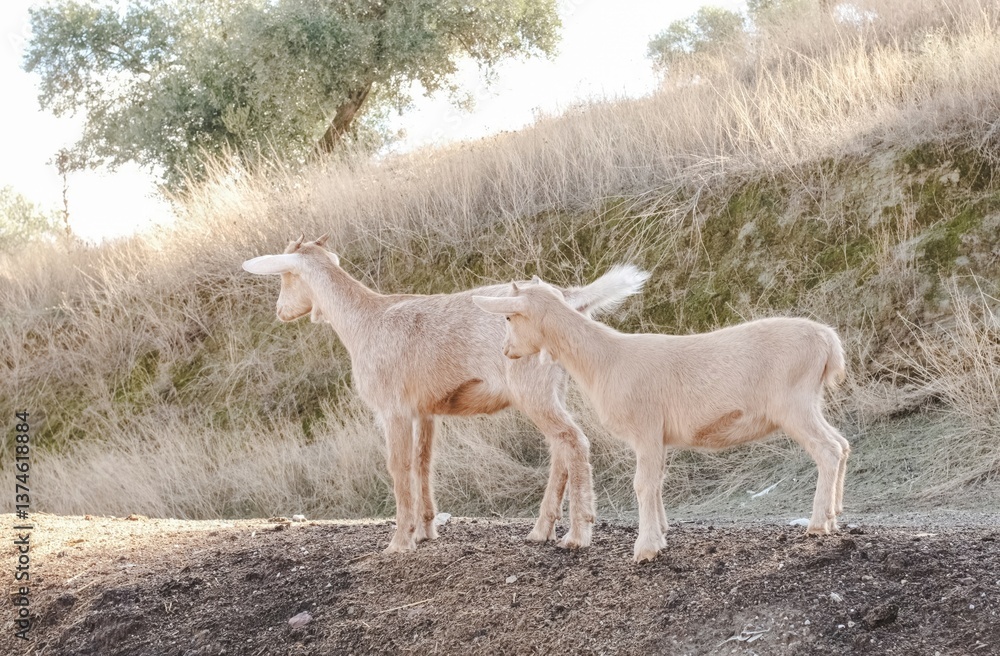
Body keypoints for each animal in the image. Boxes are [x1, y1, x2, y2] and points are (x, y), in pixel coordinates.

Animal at [242, 236, 648, 553]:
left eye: (286, 276)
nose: (280, 311)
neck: (363, 322)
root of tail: (570, 298)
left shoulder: (392, 408)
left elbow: (399, 466)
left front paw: (399, 542)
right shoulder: (425, 409)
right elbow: (423, 463)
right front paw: (425, 530)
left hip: (531, 384)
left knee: (574, 441)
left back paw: (578, 534)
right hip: (552, 384)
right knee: (560, 447)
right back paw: (540, 530)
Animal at [474, 277, 849, 563]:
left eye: (509, 319)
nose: (506, 351)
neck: (605, 360)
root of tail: (828, 342)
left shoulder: (645, 427)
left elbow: (642, 484)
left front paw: (645, 548)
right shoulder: (659, 436)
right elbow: (656, 483)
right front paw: (661, 533)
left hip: (794, 403)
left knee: (827, 450)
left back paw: (818, 523)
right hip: (810, 402)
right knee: (842, 443)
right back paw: (835, 515)